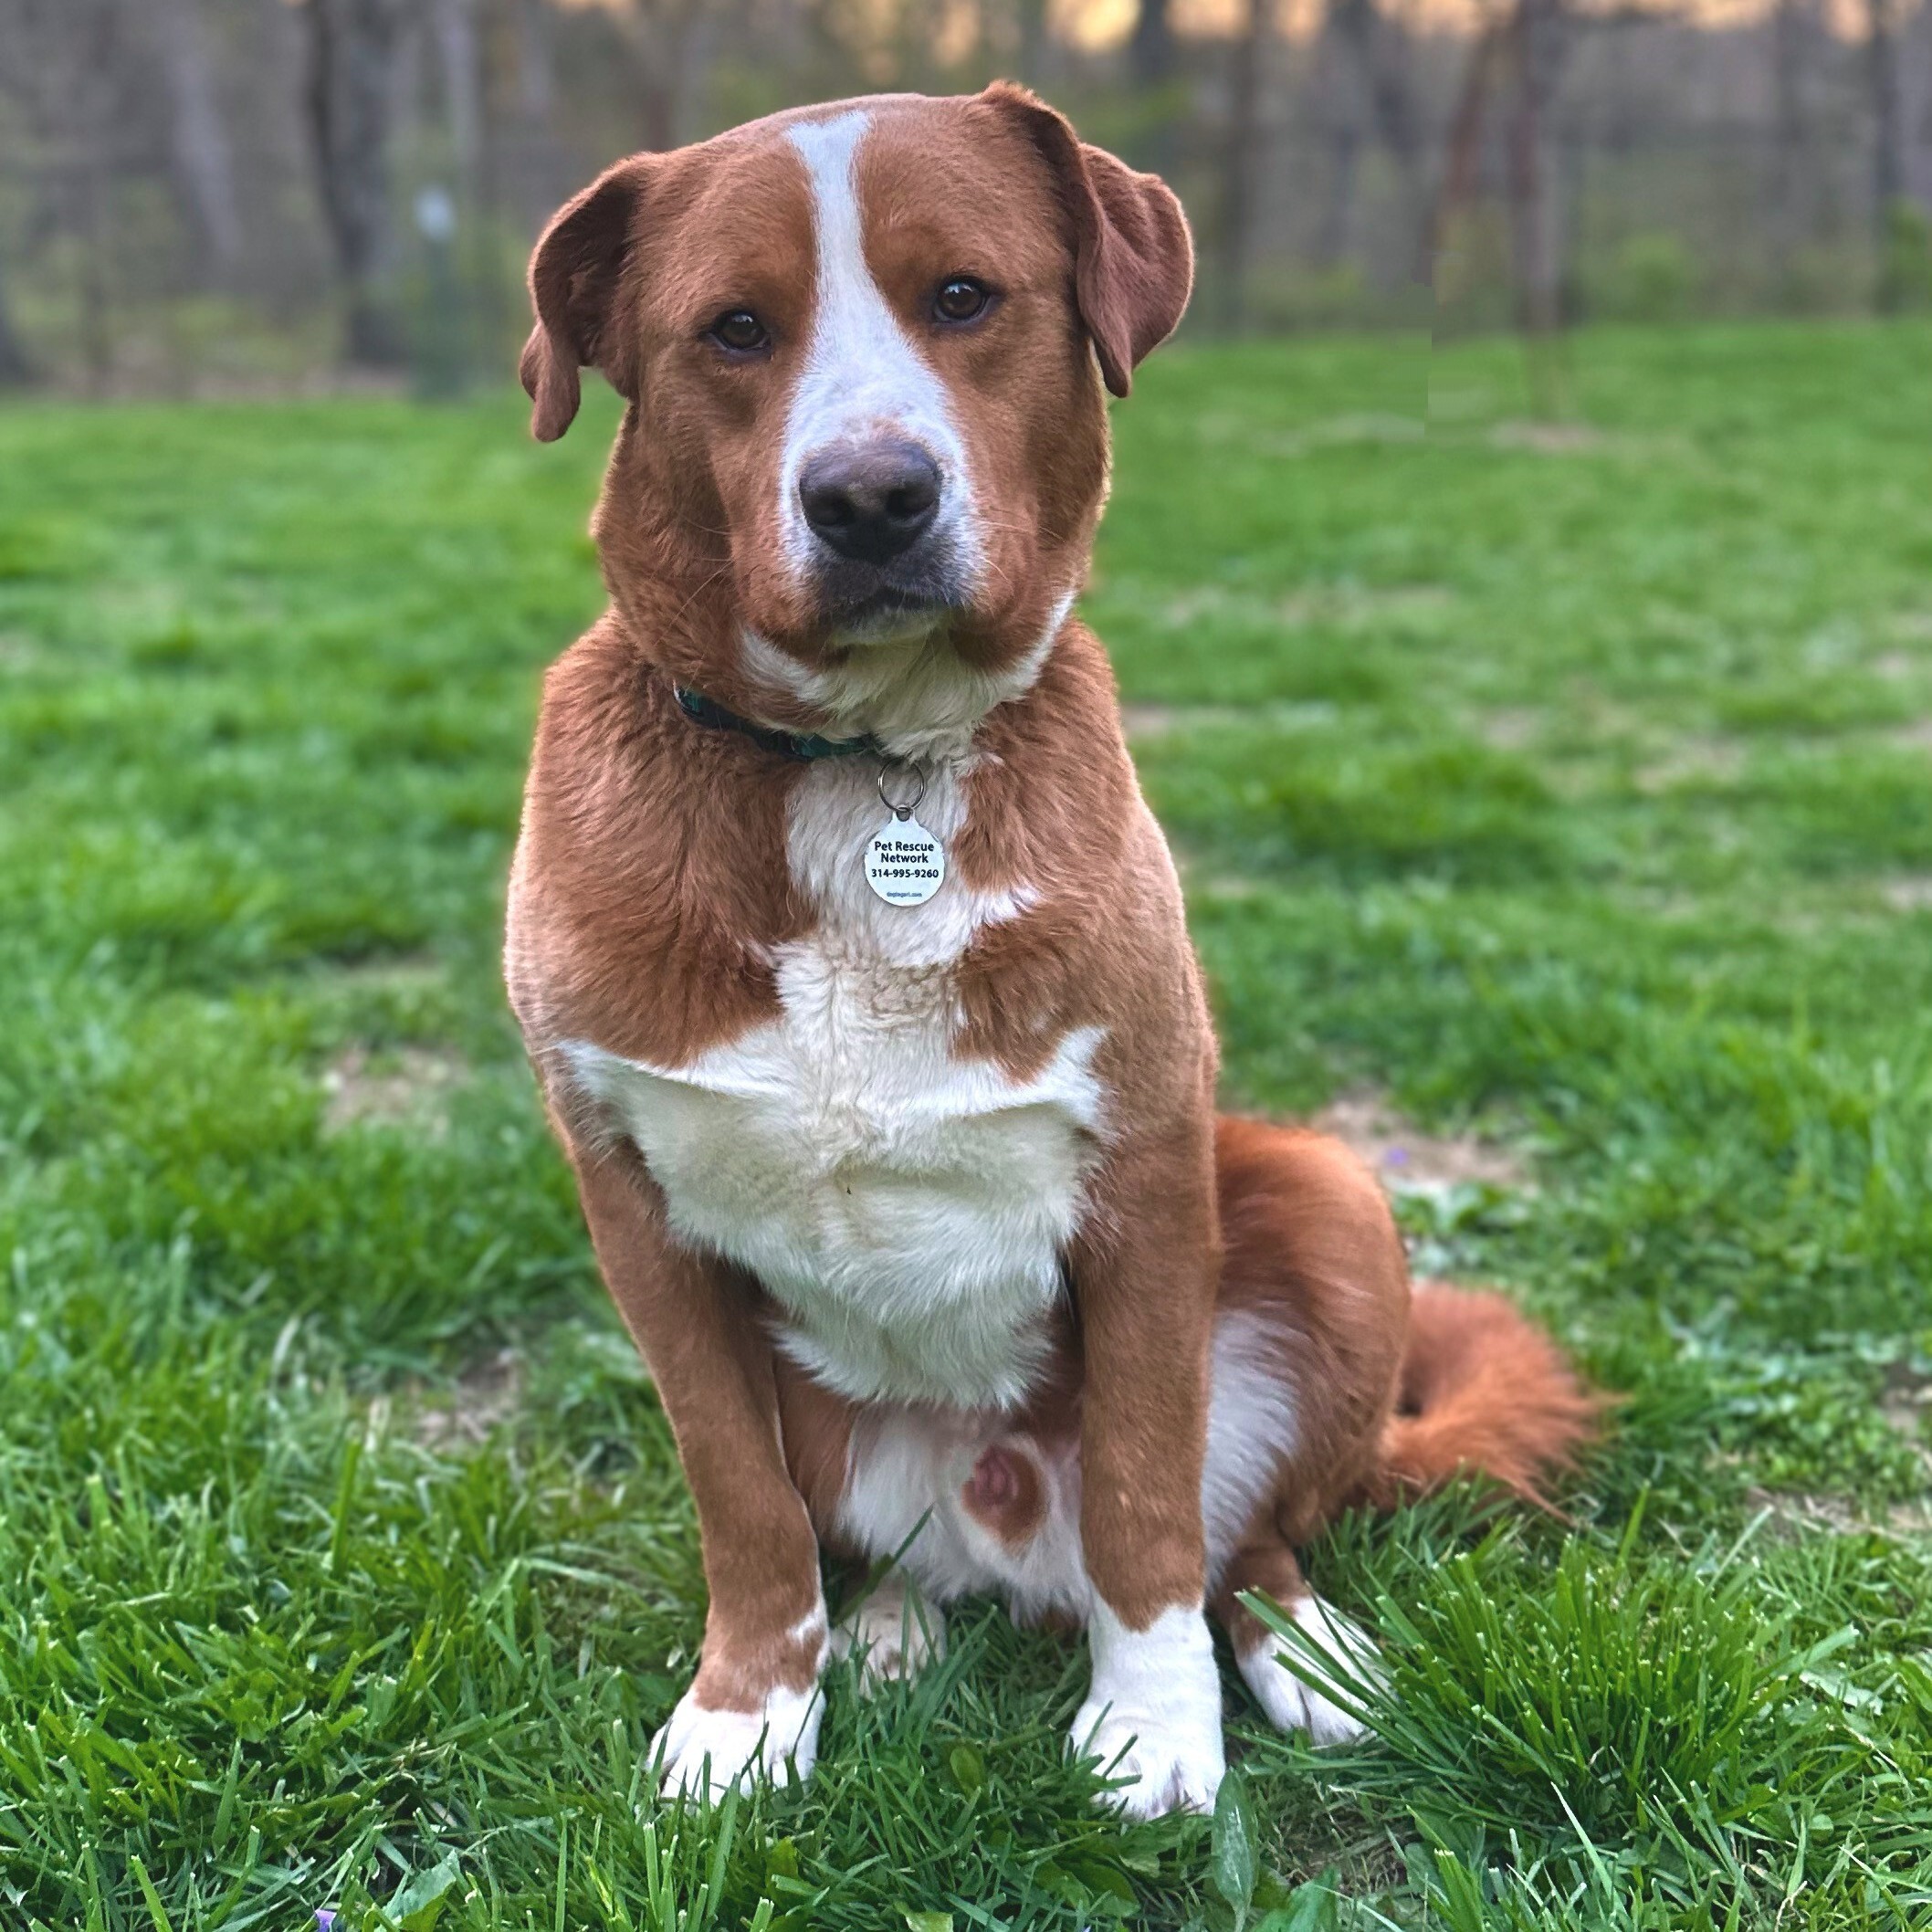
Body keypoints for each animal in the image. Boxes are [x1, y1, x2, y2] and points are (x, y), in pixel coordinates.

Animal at [506, 82, 1591, 1816]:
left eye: (964, 297)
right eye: (733, 329)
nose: (869, 498)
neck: (865, 766)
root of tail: (1006, 1538)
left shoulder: (1144, 1184)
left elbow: (1148, 1500)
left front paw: (1154, 1731)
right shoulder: (637, 1215)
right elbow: (743, 1507)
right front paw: (749, 1716)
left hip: (1324, 1195)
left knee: (1241, 1537)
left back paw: (1307, 1652)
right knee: (886, 1553)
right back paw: (887, 1631)